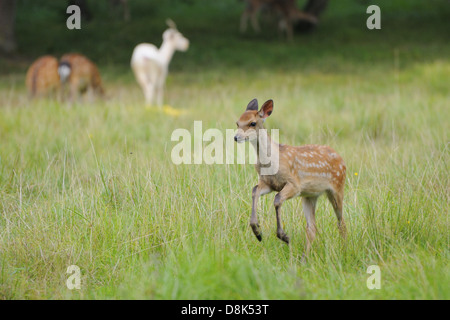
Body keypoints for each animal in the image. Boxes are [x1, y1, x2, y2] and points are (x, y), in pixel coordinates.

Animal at [236, 99, 348, 256]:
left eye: (252, 123)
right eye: (237, 123)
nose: (236, 137)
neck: (271, 161)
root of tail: (342, 159)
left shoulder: (295, 184)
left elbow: (277, 199)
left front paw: (284, 236)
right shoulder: (268, 183)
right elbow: (254, 191)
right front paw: (257, 232)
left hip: (337, 187)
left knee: (341, 223)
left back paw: (344, 250)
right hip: (309, 195)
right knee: (312, 227)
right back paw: (304, 257)